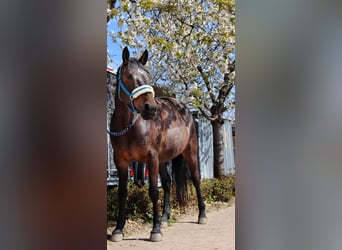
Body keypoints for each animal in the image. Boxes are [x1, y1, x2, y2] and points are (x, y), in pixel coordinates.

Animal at [108, 47, 207, 242]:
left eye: (148, 76)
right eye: (129, 76)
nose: (151, 109)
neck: (131, 127)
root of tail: (185, 110)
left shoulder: (151, 158)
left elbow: (153, 191)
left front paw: (155, 231)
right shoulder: (121, 161)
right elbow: (122, 193)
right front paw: (118, 229)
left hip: (190, 153)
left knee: (196, 179)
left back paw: (202, 215)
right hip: (162, 160)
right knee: (168, 184)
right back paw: (164, 218)